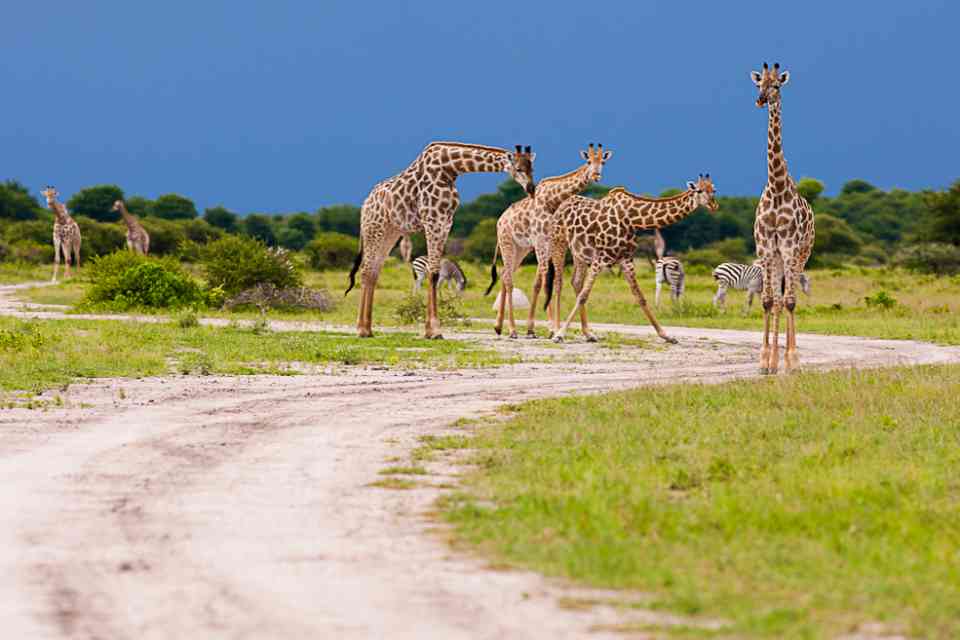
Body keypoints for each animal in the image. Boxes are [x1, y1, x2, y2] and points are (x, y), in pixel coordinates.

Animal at [346, 142, 536, 338]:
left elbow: (434, 273)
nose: (531, 188)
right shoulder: (432, 220)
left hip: (390, 233)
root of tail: (365, 204)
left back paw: (368, 329)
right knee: (365, 271)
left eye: (532, 168)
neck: (449, 169)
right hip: (374, 229)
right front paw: (435, 330)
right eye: (519, 168)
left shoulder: (445, 223)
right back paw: (361, 329)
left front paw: (429, 330)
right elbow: (434, 273)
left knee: (373, 272)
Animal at [487, 143, 612, 338]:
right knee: (508, 278)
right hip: (508, 243)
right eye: (588, 161)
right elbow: (546, 280)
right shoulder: (541, 241)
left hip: (521, 249)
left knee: (505, 274)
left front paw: (539, 328)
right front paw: (551, 328)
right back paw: (512, 329)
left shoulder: (552, 242)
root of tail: (500, 221)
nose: (596, 175)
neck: (553, 199)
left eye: (603, 162)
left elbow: (545, 281)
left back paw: (499, 326)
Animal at [549, 175, 719, 343]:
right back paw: (555, 330)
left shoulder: (626, 259)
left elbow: (640, 297)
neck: (632, 218)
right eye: (699, 190)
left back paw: (588, 334)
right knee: (559, 283)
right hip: (559, 242)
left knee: (576, 281)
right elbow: (583, 296)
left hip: (580, 253)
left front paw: (666, 335)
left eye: (714, 190)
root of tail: (561, 205)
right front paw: (560, 334)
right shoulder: (600, 258)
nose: (713, 205)